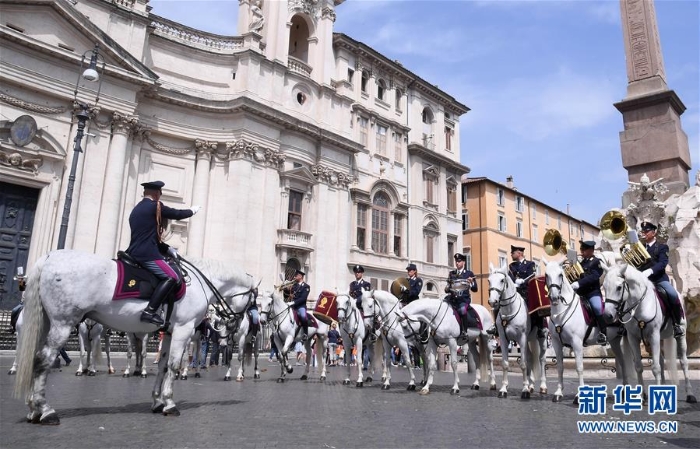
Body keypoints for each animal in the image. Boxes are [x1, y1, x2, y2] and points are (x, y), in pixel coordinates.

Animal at [13, 250, 260, 422]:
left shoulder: (169, 331)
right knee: (43, 360)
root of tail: (48, 258)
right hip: (63, 323)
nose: (235, 324)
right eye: (252, 300)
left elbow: (162, 366)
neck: (200, 282)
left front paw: (157, 401)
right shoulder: (183, 328)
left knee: (34, 357)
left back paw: (33, 409)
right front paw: (170, 403)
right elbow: (173, 366)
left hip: (44, 322)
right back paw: (46, 410)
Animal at [486, 262, 548, 400]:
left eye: (502, 280)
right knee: (531, 358)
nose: (492, 301)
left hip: (540, 339)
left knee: (541, 359)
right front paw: (503, 389)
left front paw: (524, 390)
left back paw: (542, 386)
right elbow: (505, 364)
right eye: (489, 280)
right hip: (530, 340)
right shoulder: (503, 339)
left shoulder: (522, 338)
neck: (509, 310)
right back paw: (531, 385)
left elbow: (523, 364)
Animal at [540, 258, 636, 400]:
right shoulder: (557, 343)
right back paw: (624, 390)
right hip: (614, 341)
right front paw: (558, 392)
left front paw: (579, 396)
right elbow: (560, 367)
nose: (554, 297)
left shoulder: (577, 343)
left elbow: (579, 368)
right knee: (623, 362)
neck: (562, 312)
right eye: (546, 275)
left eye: (560, 275)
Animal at [600, 262, 696, 402]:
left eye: (619, 287)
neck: (640, 307)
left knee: (683, 362)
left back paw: (690, 394)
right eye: (604, 287)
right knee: (661, 360)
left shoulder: (653, 335)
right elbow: (639, 366)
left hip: (680, 335)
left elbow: (655, 368)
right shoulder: (633, 338)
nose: (607, 316)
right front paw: (642, 395)